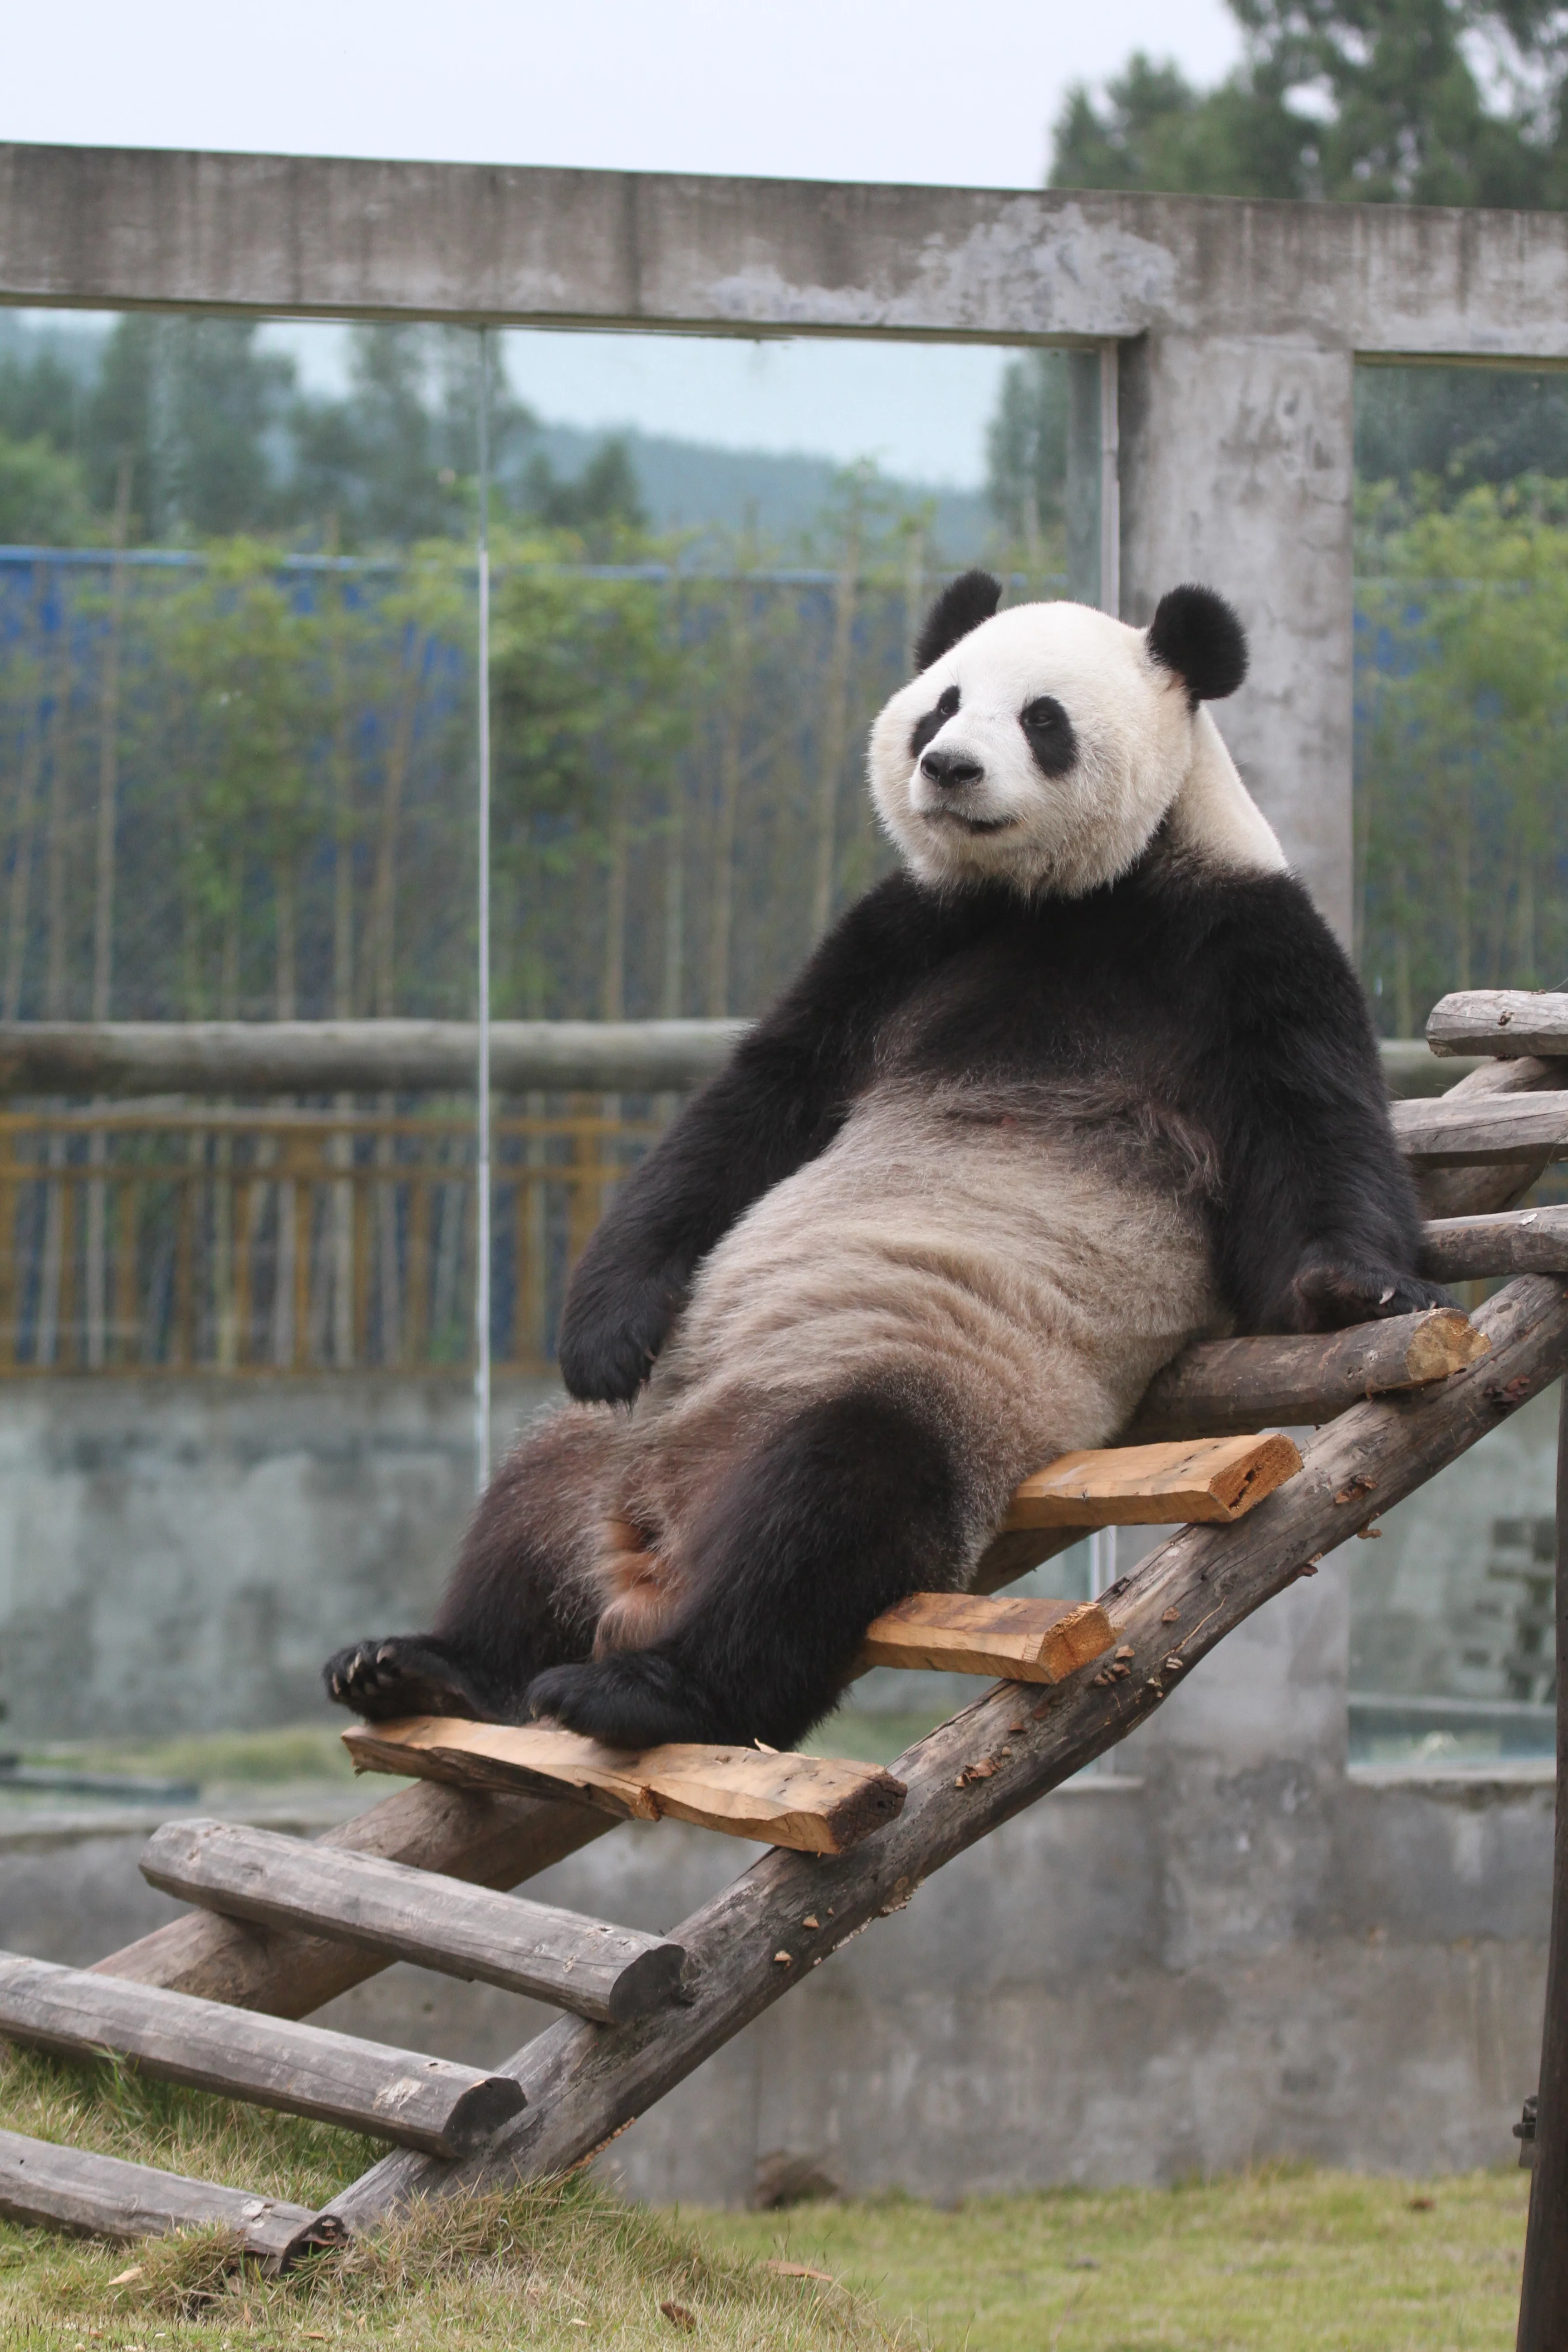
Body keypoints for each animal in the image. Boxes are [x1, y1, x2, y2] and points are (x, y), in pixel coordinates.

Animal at [325, 573, 1446, 1754]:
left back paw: (648, 1687)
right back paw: (423, 1665)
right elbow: (752, 1108)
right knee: (521, 1513)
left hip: (909, 1391)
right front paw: (603, 1330)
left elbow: (1310, 1130)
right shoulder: (903, 936)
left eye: (1041, 719)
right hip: (618, 1435)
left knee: (833, 1505)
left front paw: (1359, 1288)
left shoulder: (1242, 940)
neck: (1064, 901)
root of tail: (651, 1528)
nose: (948, 766)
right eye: (939, 704)